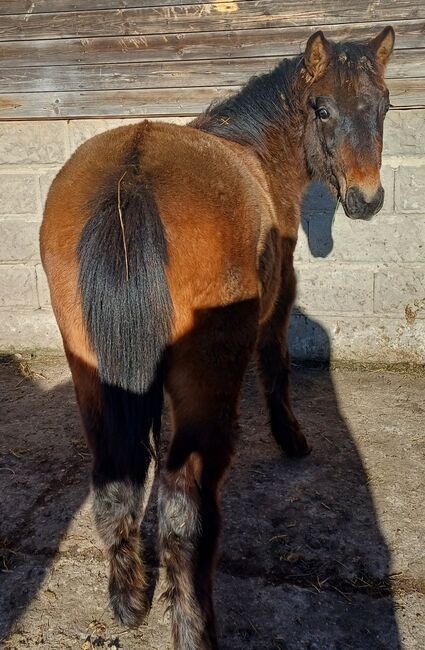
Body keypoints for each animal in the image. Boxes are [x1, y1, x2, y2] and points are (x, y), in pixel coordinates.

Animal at [39, 26, 394, 648]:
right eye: (322, 108)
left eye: (384, 107)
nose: (366, 199)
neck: (254, 151)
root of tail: (131, 176)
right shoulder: (279, 301)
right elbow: (276, 367)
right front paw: (291, 438)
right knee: (186, 511)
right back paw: (194, 627)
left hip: (92, 376)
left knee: (113, 485)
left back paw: (128, 603)